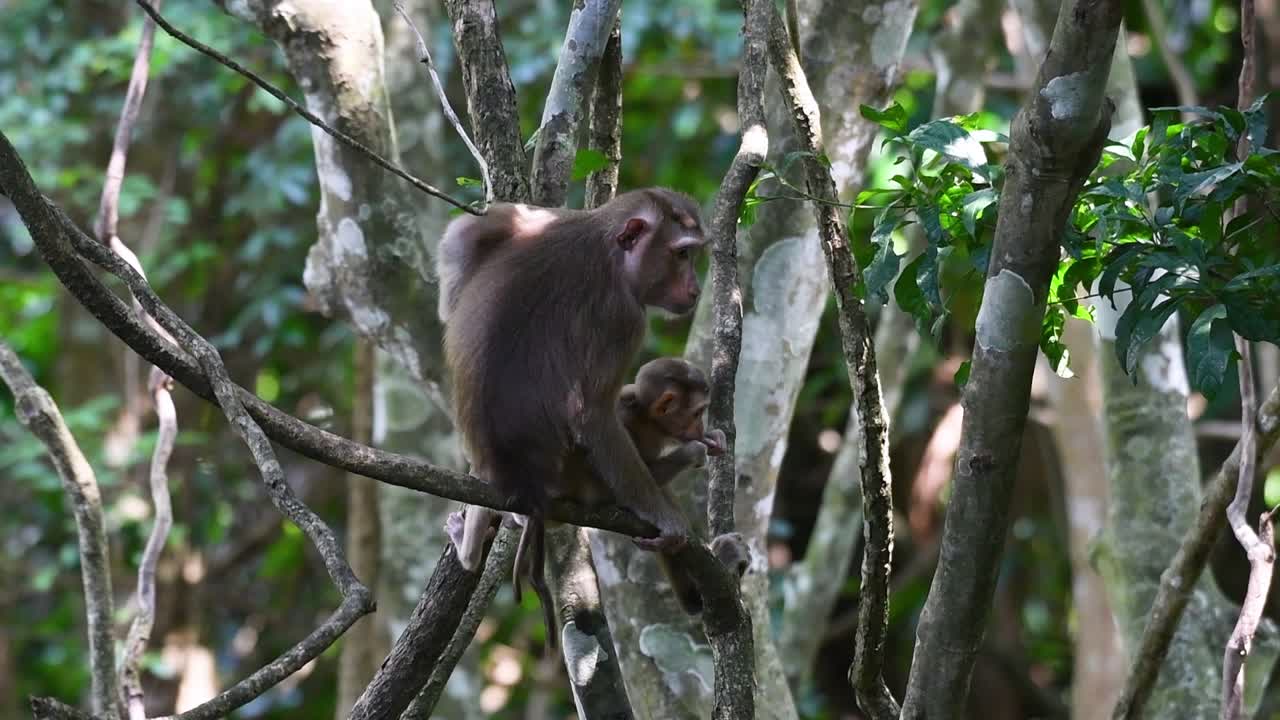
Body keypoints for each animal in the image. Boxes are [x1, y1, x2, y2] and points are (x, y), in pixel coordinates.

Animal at [438, 188, 707, 638]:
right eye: (682, 254)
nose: (696, 287)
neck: (606, 246)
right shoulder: (625, 318)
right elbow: (592, 412)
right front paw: (665, 519)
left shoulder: (543, 218)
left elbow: (466, 237)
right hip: (577, 475)